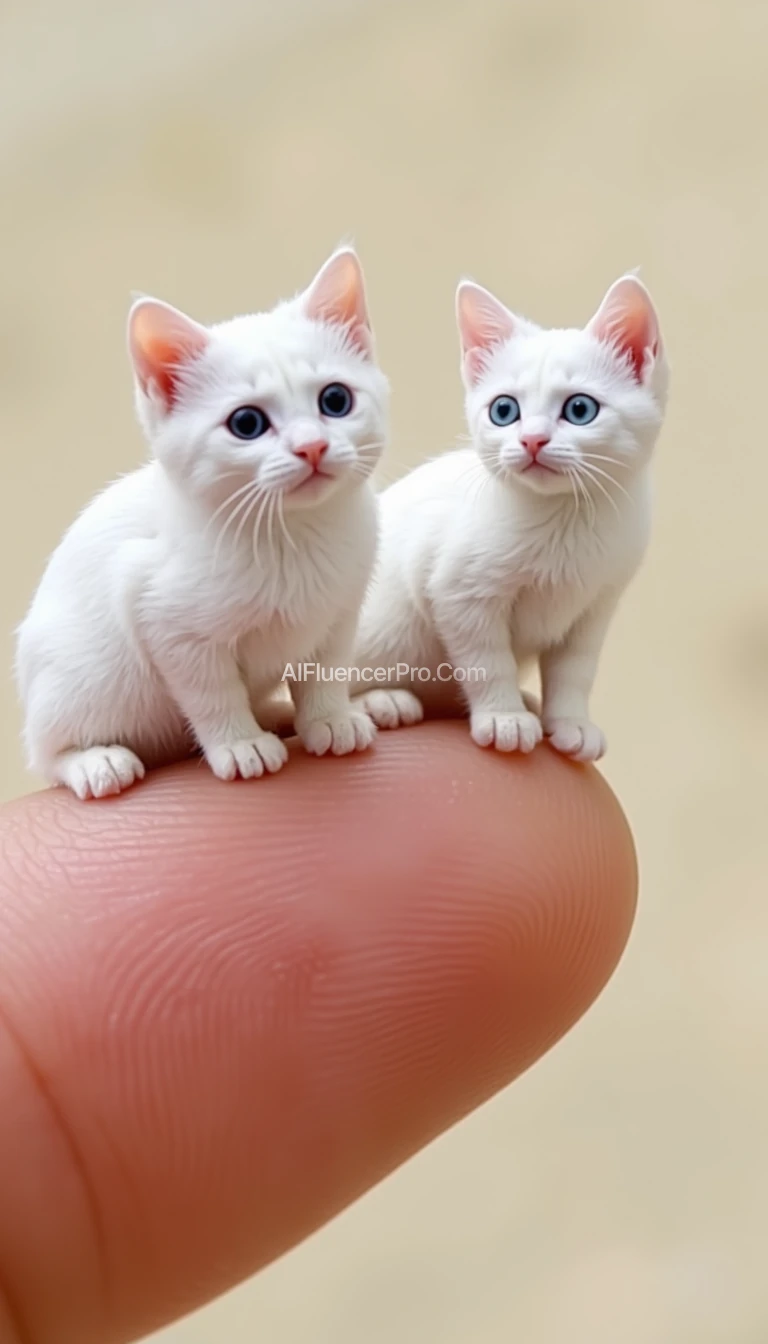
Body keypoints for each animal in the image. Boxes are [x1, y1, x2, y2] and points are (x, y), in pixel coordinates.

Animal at [16, 249, 390, 795]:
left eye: (336, 400)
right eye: (247, 423)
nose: (312, 446)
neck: (294, 535)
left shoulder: (340, 609)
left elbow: (325, 666)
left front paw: (329, 716)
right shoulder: (161, 613)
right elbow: (213, 691)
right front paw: (239, 743)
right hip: (78, 679)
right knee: (45, 753)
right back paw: (94, 761)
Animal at [352, 270, 667, 768]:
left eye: (580, 409)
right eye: (504, 410)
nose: (532, 440)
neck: (567, 518)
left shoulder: (598, 603)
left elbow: (575, 668)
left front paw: (571, 721)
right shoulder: (460, 591)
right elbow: (488, 659)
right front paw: (504, 717)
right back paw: (378, 701)